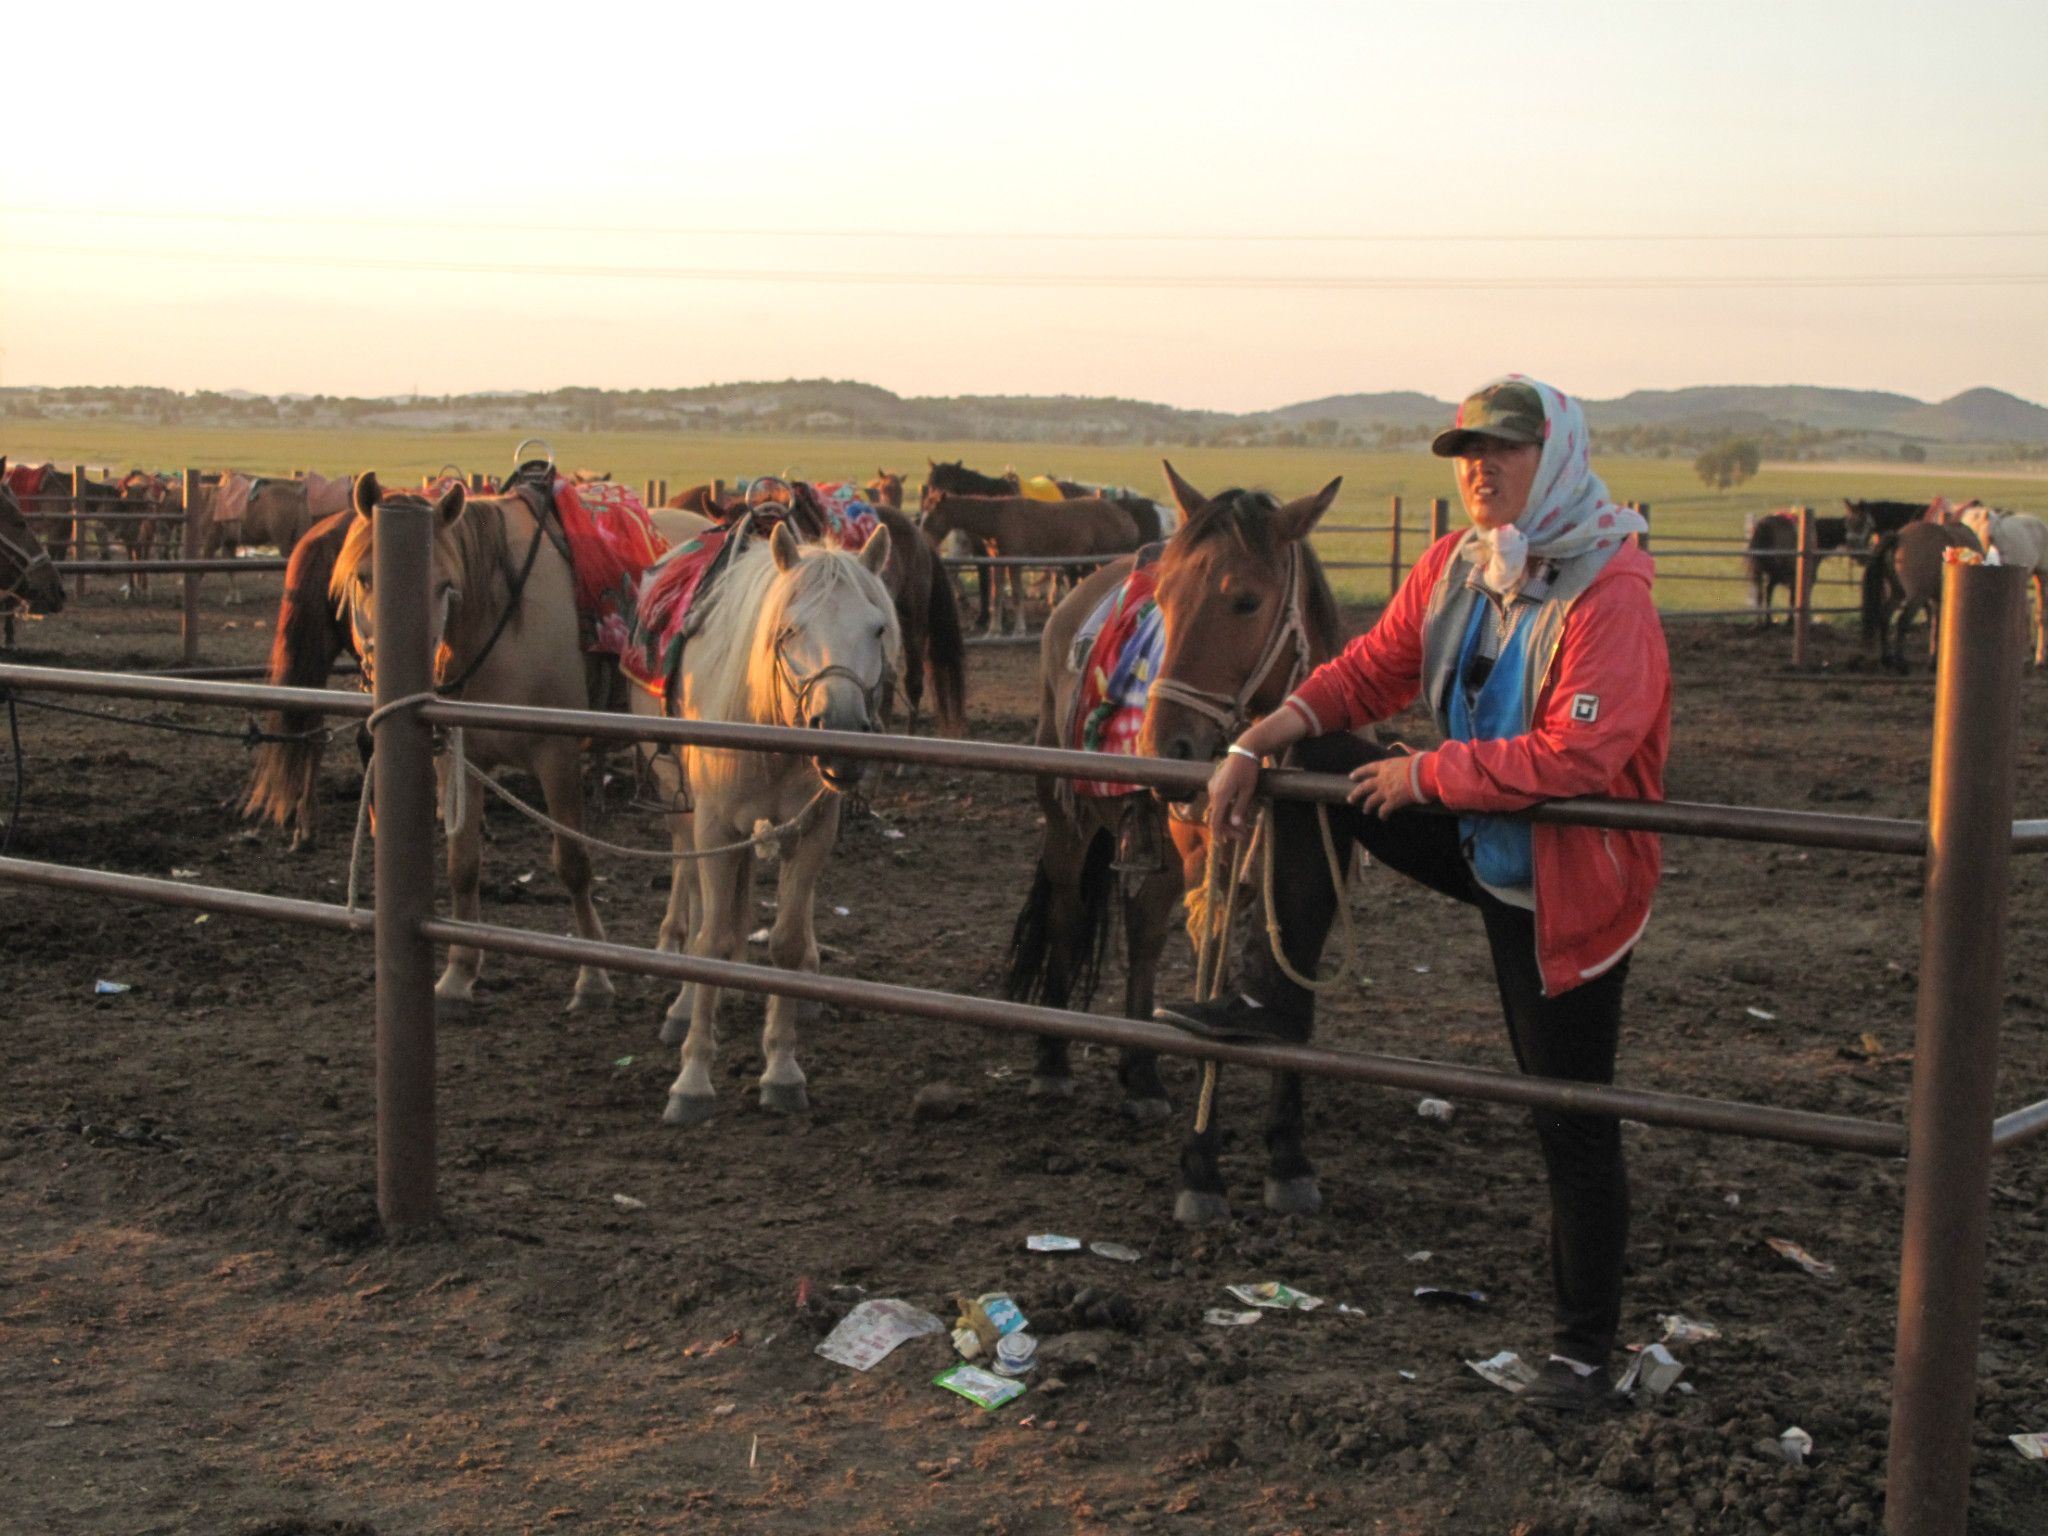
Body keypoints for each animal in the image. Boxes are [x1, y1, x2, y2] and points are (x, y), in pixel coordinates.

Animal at [630, 524, 905, 1122]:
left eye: (876, 628)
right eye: (790, 629)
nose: (841, 729)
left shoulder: (812, 829)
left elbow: (784, 943)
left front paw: (781, 1070)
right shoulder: (714, 825)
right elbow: (710, 942)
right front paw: (692, 1080)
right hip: (679, 801)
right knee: (692, 889)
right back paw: (683, 1002)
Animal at [925, 493, 1146, 638]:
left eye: (931, 515)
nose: (926, 544)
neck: (998, 518)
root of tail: (1127, 518)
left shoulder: (1014, 561)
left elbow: (1016, 594)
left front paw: (1019, 630)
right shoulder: (998, 562)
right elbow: (997, 595)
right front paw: (993, 631)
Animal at [1003, 466, 1343, 1228]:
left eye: (1246, 600)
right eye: (1165, 599)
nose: (1164, 746)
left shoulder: (1305, 890)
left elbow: (1292, 996)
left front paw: (1289, 1156)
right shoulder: (1211, 877)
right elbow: (1210, 983)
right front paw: (1201, 1169)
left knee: (1144, 935)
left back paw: (1142, 1077)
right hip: (1068, 822)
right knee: (1068, 921)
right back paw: (1051, 1062)